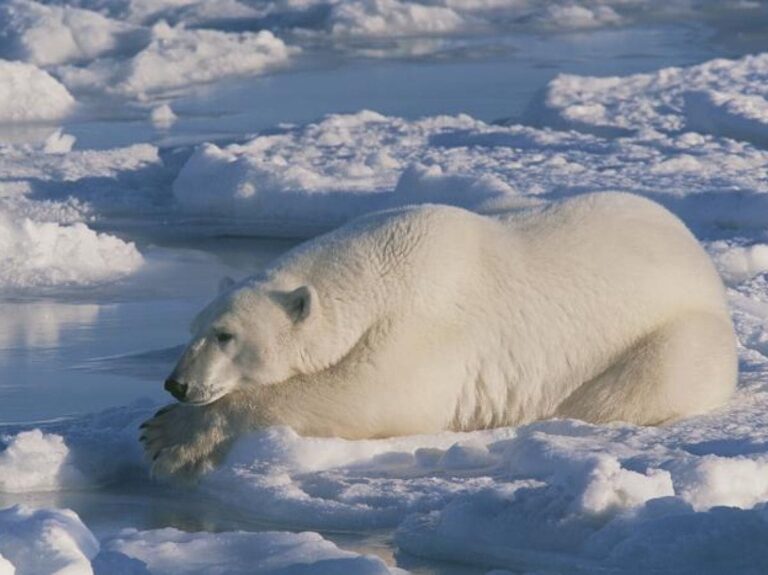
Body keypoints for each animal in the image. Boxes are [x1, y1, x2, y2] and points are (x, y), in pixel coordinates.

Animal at [140, 192, 737, 478]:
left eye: (225, 336)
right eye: (193, 329)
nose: (177, 385)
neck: (378, 269)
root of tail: (699, 256)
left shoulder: (429, 327)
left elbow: (369, 395)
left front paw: (166, 435)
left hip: (677, 337)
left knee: (637, 386)